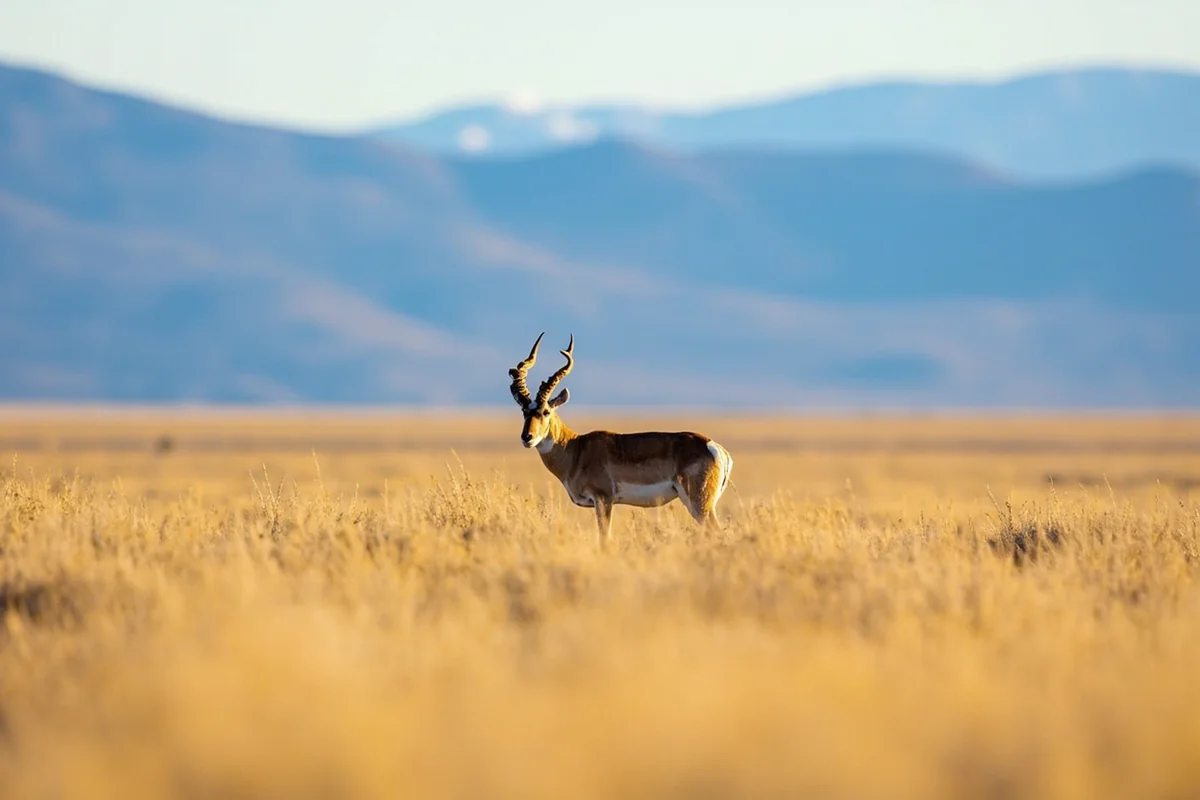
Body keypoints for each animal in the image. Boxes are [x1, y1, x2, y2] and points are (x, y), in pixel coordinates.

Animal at [508, 333, 734, 540]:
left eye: (546, 411)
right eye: (524, 411)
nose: (527, 437)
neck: (576, 449)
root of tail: (715, 448)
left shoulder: (603, 500)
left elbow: (604, 539)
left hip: (700, 505)